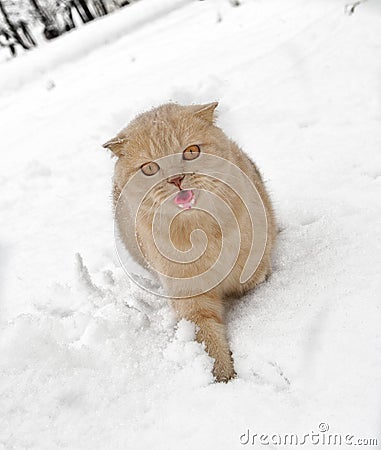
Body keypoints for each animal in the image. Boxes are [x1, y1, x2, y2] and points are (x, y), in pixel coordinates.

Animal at [103, 103, 276, 384]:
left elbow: (255, 280)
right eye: (149, 168)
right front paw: (225, 379)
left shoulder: (255, 272)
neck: (201, 231)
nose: (176, 179)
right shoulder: (190, 301)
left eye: (191, 151)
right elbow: (207, 342)